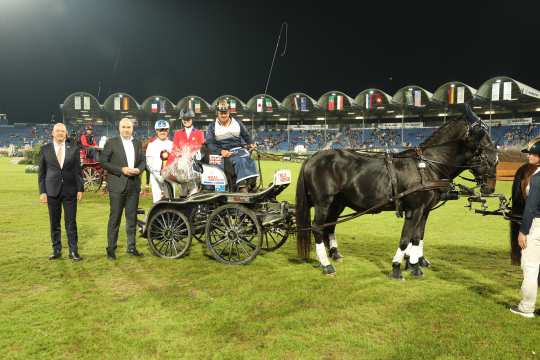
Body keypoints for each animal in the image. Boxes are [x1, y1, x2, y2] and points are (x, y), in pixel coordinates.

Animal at [296, 105, 498, 278]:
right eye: (483, 135)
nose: (490, 187)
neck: (427, 166)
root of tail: (312, 157)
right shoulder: (414, 210)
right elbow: (405, 238)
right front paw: (397, 267)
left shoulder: (424, 210)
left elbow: (417, 237)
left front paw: (414, 264)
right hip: (323, 202)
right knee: (317, 227)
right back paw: (326, 264)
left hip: (338, 203)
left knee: (329, 226)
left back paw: (334, 254)